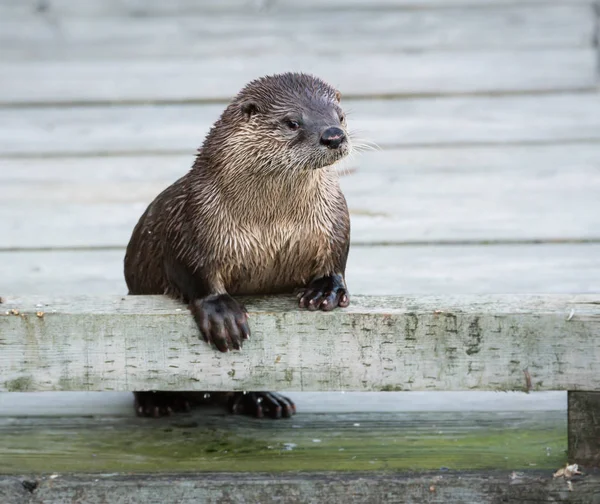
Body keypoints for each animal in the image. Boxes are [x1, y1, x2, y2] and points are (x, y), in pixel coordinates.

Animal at [126, 71, 352, 418]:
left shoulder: (334, 216)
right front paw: (221, 313)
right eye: (292, 122)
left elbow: (338, 254)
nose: (333, 135)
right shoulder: (193, 221)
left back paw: (263, 400)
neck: (271, 223)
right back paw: (160, 402)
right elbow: (190, 270)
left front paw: (326, 289)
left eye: (340, 116)